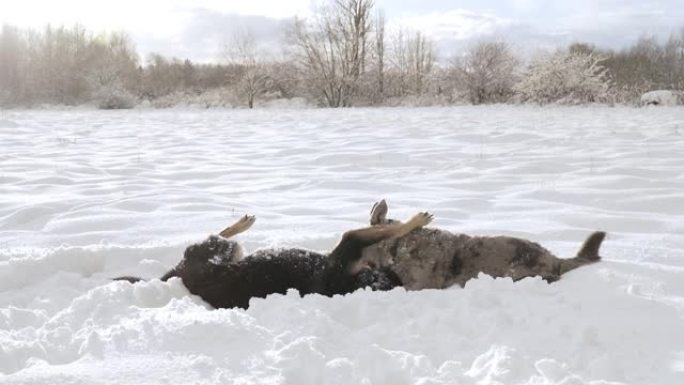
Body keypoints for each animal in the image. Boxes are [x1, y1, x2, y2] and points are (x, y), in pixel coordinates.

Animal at [114, 208, 430, 308]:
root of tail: (172, 276)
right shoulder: (349, 243)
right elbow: (387, 229)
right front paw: (415, 221)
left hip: (222, 253)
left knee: (222, 238)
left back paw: (240, 225)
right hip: (219, 251)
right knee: (221, 236)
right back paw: (242, 223)